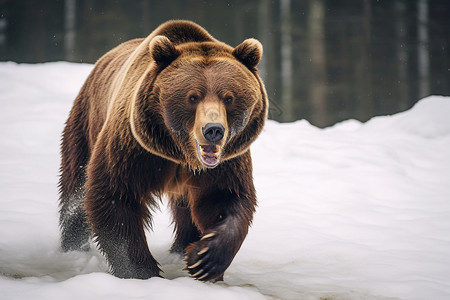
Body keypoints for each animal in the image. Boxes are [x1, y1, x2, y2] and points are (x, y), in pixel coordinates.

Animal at [56, 19, 268, 282]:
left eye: (229, 97)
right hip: (86, 122)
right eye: (192, 97)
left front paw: (204, 259)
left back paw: (182, 247)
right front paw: (141, 271)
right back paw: (71, 248)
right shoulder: (134, 149)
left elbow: (224, 198)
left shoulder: (225, 162)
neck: (180, 155)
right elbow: (115, 197)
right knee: (75, 188)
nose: (213, 130)